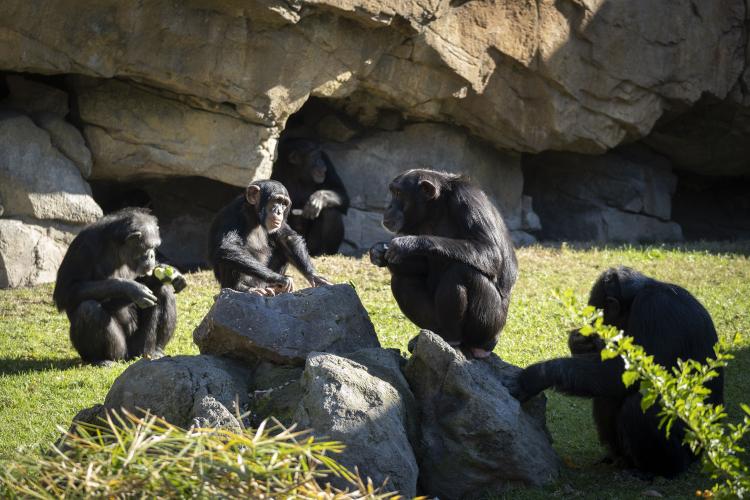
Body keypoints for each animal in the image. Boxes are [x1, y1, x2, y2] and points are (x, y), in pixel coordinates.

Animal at [53, 208, 187, 368]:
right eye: (148, 247)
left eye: (155, 247)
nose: (152, 255)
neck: (117, 248)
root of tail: (129, 357)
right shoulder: (84, 246)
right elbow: (67, 289)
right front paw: (132, 289)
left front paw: (169, 273)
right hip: (119, 351)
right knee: (88, 309)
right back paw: (100, 359)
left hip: (140, 346)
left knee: (164, 292)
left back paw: (156, 350)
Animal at [368, 170, 516, 358]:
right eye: (393, 192)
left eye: (398, 193)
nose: (389, 207)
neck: (436, 209)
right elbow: (421, 265)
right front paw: (379, 252)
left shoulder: (468, 200)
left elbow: (491, 251)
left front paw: (405, 244)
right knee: (402, 279)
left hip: (489, 327)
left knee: (461, 272)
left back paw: (452, 339)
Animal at [516, 268, 724, 478]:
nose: (592, 326)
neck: (636, 298)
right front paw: (579, 342)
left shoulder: (655, 310)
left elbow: (625, 374)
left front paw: (536, 375)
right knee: (605, 395)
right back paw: (619, 459)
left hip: (690, 447)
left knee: (638, 406)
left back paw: (656, 470)